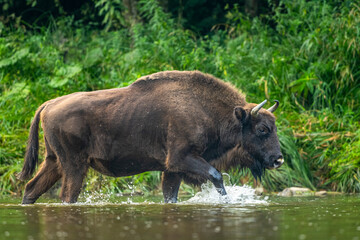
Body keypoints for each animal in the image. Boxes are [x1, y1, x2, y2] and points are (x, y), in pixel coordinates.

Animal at [18, 70, 284, 203]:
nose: (278, 159)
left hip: (54, 162)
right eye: (262, 129)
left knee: (31, 189)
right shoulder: (181, 159)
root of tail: (49, 104)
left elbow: (170, 196)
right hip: (74, 165)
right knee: (66, 196)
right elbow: (216, 176)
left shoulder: (172, 170)